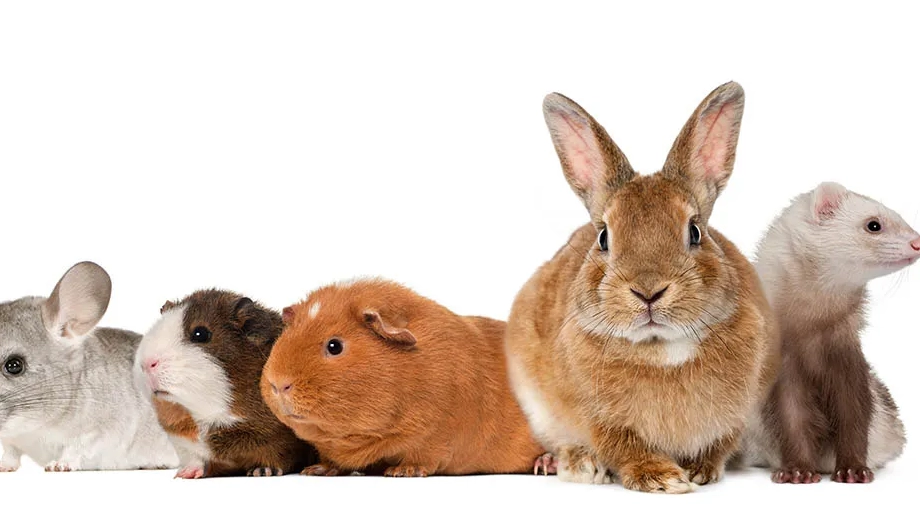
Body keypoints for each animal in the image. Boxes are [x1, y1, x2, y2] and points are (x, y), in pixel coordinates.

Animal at [0, 262, 177, 472]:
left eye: (14, 365)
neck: (32, 430)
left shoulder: (101, 429)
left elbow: (77, 449)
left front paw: (59, 466)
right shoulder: (9, 440)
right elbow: (10, 454)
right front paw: (3, 467)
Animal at [135, 289, 317, 478]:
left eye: (200, 334)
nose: (147, 363)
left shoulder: (280, 439)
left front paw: (262, 471)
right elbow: (197, 458)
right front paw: (185, 474)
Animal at [261, 279, 545, 477]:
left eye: (334, 346)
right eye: (284, 337)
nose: (278, 384)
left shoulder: (435, 438)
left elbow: (424, 456)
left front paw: (403, 472)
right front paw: (316, 470)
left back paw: (545, 465)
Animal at [742, 182, 913, 483]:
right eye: (874, 224)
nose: (917, 242)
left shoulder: (849, 365)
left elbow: (854, 420)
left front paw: (854, 470)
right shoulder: (784, 378)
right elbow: (793, 423)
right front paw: (797, 471)